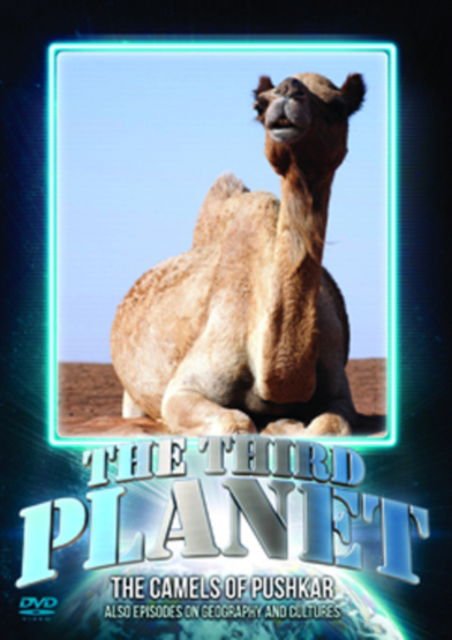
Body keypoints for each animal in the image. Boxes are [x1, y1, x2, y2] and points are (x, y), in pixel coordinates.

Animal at [110, 71, 366, 437]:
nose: (288, 90)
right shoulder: (183, 390)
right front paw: (278, 424)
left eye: (337, 107)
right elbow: (237, 422)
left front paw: (286, 423)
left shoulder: (339, 390)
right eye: (259, 106)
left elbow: (330, 425)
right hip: (130, 395)